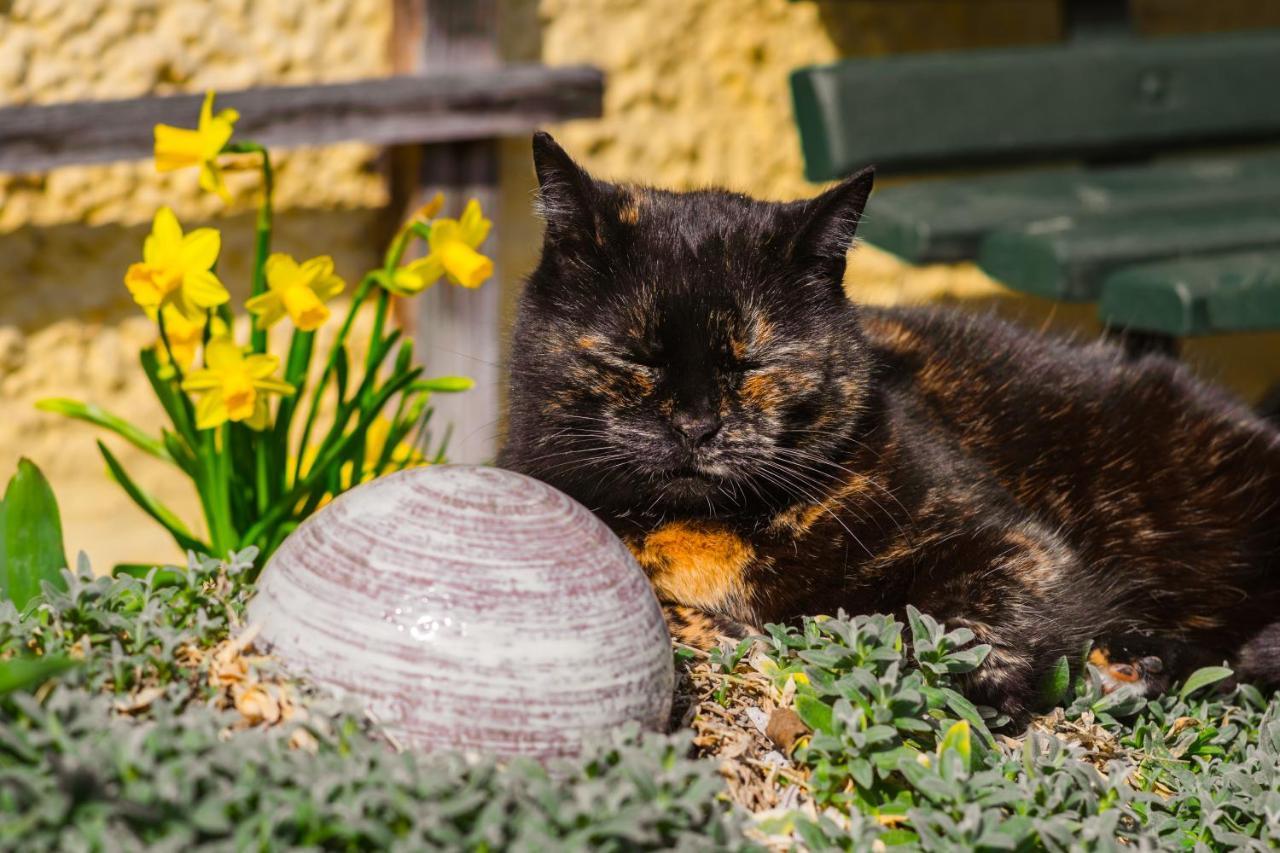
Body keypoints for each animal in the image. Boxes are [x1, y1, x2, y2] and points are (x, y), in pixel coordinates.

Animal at [496, 133, 1280, 717]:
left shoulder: (1021, 546)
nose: (697, 425)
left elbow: (933, 618)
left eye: (755, 361)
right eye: (636, 355)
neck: (710, 529)